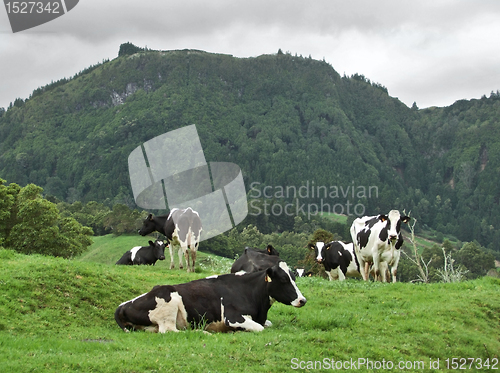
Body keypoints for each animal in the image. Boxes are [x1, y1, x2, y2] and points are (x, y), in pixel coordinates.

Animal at [114, 260, 306, 332]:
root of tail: (122, 305)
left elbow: (267, 324)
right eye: (283, 279)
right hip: (169, 302)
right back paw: (204, 332)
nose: (302, 300)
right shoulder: (232, 317)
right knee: (170, 331)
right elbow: (260, 328)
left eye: (294, 277)